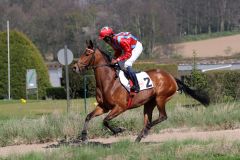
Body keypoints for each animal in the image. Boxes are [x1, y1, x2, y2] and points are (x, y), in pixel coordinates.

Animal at [72, 40, 209, 142]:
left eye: (87, 54)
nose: (74, 67)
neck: (109, 81)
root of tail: (171, 77)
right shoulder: (103, 106)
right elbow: (89, 116)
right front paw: (83, 136)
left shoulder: (120, 107)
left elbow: (105, 120)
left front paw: (119, 130)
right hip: (149, 103)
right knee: (148, 119)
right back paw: (140, 136)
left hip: (161, 98)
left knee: (162, 117)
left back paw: (145, 131)